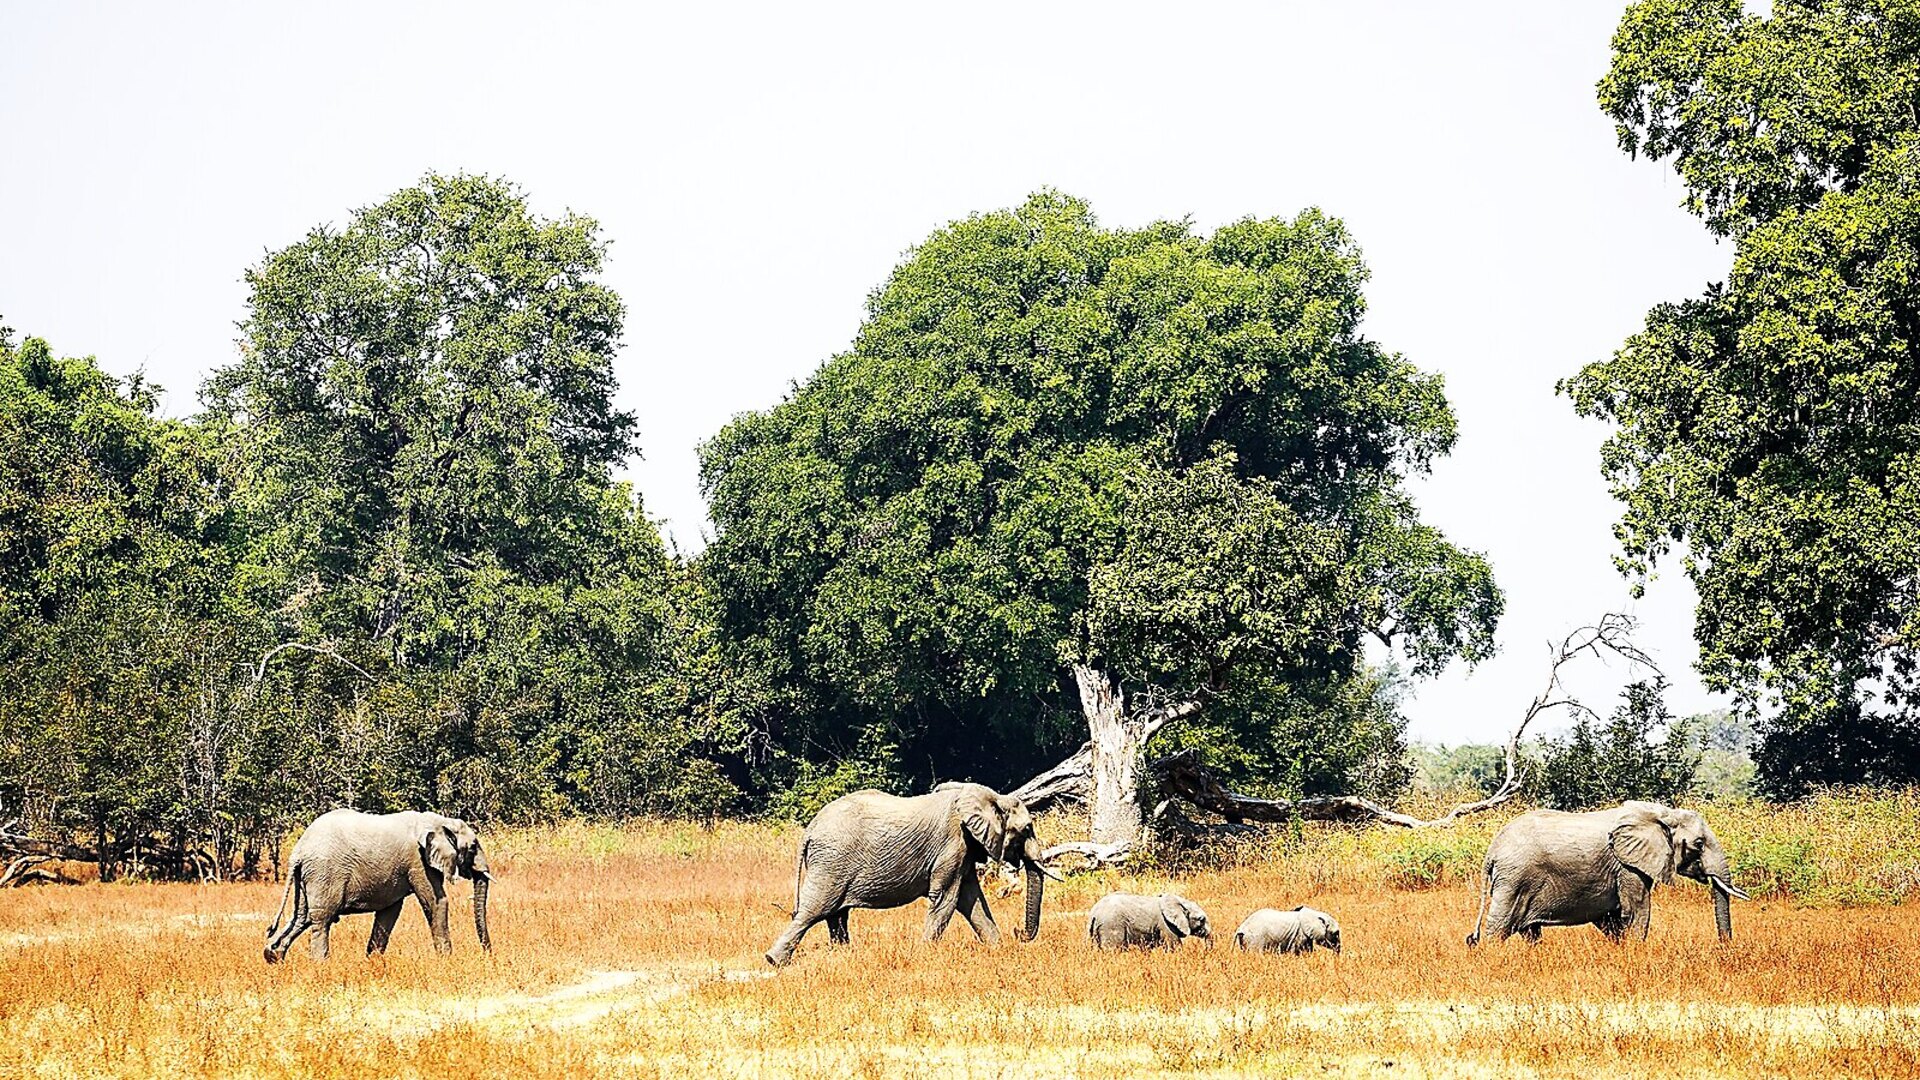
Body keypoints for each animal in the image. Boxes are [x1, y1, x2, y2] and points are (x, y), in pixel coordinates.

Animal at [264, 809, 491, 963]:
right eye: (472, 847)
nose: (488, 955)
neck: (439, 821)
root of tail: (298, 851)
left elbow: (389, 912)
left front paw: (373, 962)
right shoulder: (418, 861)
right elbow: (436, 902)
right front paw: (447, 960)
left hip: (308, 876)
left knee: (301, 917)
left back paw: (273, 956)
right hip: (324, 873)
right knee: (321, 919)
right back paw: (321, 965)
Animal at [764, 782, 1059, 966]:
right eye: (1027, 829)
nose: (1018, 933)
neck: (991, 797)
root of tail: (810, 829)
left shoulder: (964, 849)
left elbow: (971, 900)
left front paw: (998, 949)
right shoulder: (952, 844)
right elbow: (947, 899)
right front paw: (925, 954)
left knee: (836, 914)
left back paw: (843, 954)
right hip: (831, 863)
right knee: (815, 910)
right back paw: (774, 961)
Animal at [1466, 800, 1750, 945]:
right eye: (1699, 844)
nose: (1725, 949)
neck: (1661, 813)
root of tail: (1492, 850)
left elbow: (1612, 917)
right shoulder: (1627, 865)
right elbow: (1636, 909)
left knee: (1530, 932)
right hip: (1514, 878)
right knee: (1499, 926)